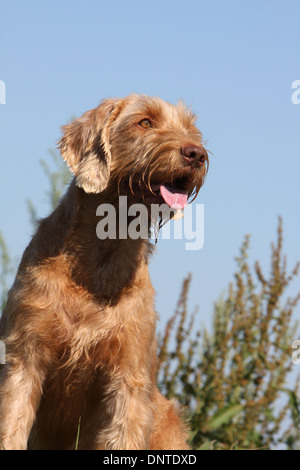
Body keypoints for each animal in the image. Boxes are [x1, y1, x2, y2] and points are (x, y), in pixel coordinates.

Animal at [0, 93, 209, 450]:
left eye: (190, 129)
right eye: (145, 122)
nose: (196, 153)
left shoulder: (129, 376)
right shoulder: (24, 355)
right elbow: (11, 425)